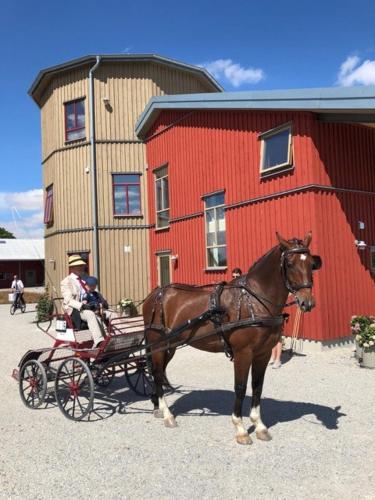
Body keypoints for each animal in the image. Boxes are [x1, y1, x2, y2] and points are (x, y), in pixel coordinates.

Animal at [142, 232, 322, 444]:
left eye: (311, 263)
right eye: (290, 263)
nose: (307, 302)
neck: (253, 302)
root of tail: (154, 294)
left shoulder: (263, 353)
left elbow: (257, 387)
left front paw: (259, 426)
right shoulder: (243, 353)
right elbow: (241, 387)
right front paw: (241, 429)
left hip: (170, 346)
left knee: (160, 372)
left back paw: (157, 406)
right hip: (158, 344)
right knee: (157, 373)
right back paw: (167, 414)